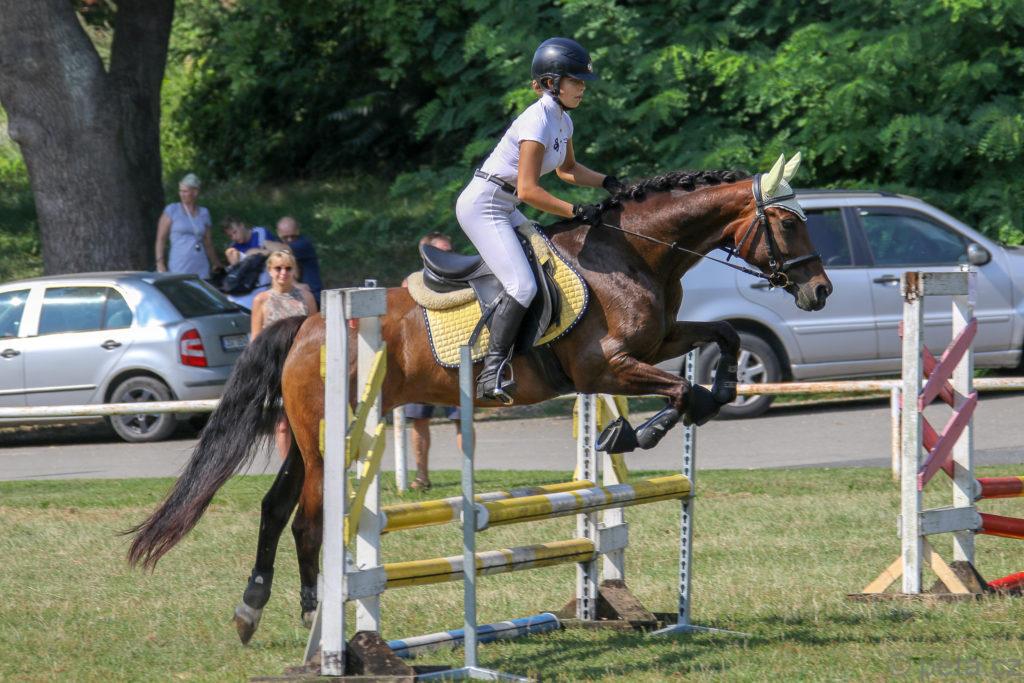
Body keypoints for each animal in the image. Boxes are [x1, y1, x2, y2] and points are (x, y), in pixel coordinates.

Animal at [127, 153, 832, 643]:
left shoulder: (657, 343)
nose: (820, 290)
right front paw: (635, 432)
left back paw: (256, 609)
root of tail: (306, 322)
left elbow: (723, 339)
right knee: (307, 516)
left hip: (309, 435)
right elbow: (682, 388)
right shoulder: (605, 366)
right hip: (331, 436)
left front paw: (705, 398)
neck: (634, 254)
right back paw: (314, 618)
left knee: (277, 508)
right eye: (787, 222)